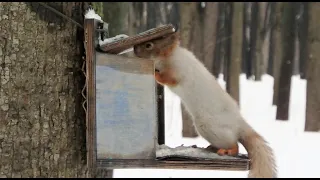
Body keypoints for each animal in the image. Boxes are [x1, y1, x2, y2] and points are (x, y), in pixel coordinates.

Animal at [132, 31, 278, 178]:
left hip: (210, 127)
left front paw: (154, 73)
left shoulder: (177, 70)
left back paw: (227, 151)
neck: (169, 56)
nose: (134, 49)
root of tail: (238, 124)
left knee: (234, 145)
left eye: (148, 45)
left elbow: (168, 79)